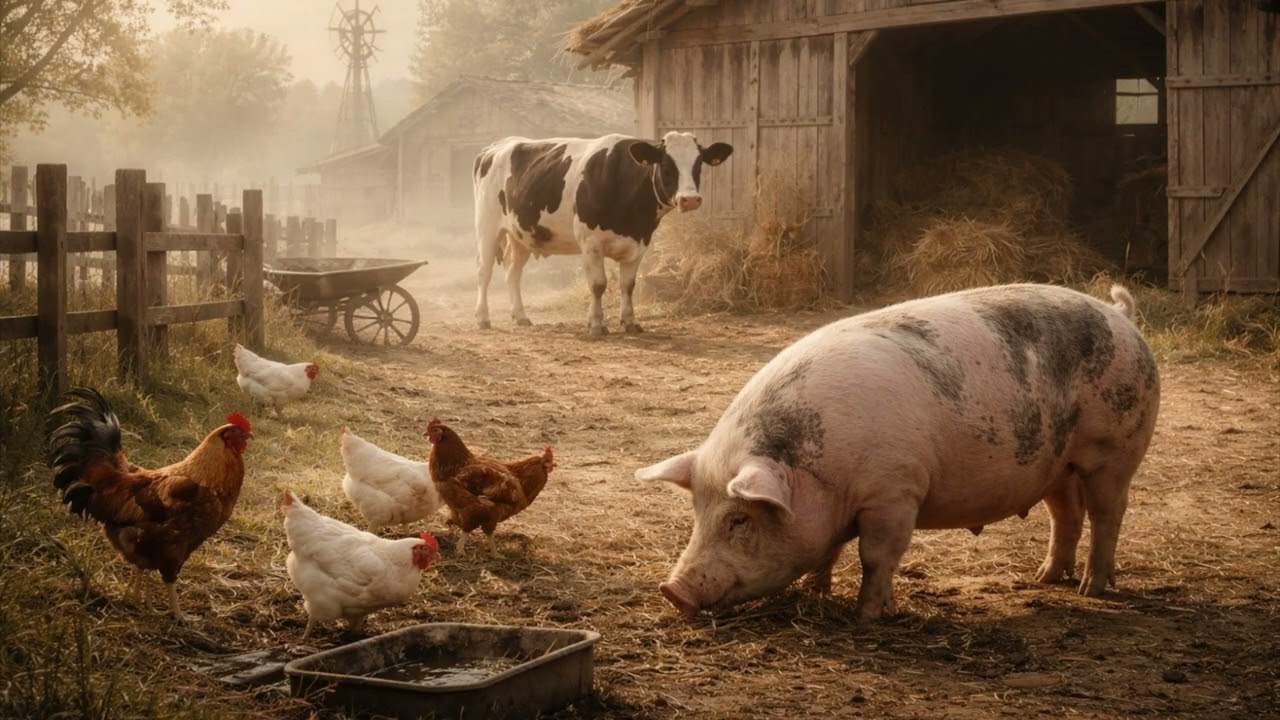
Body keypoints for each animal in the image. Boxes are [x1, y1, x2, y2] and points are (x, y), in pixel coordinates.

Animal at [472, 131, 733, 335]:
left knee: (512, 273)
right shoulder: (590, 243)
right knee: (484, 272)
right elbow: (598, 284)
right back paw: (483, 318)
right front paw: (597, 324)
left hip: (521, 235)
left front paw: (630, 322)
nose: (690, 199)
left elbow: (628, 285)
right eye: (667, 166)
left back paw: (520, 316)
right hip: (486, 226)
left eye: (698, 165)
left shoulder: (639, 243)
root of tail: (493, 147)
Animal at [638, 283, 1159, 623]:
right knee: (1066, 514)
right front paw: (816, 589)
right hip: (1056, 463)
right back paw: (1044, 578)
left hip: (1115, 450)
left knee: (1108, 512)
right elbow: (830, 550)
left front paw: (868, 617)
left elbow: (875, 555)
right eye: (697, 514)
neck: (819, 480)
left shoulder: (894, 492)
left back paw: (1093, 587)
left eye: (740, 519)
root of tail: (1121, 316)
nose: (672, 590)